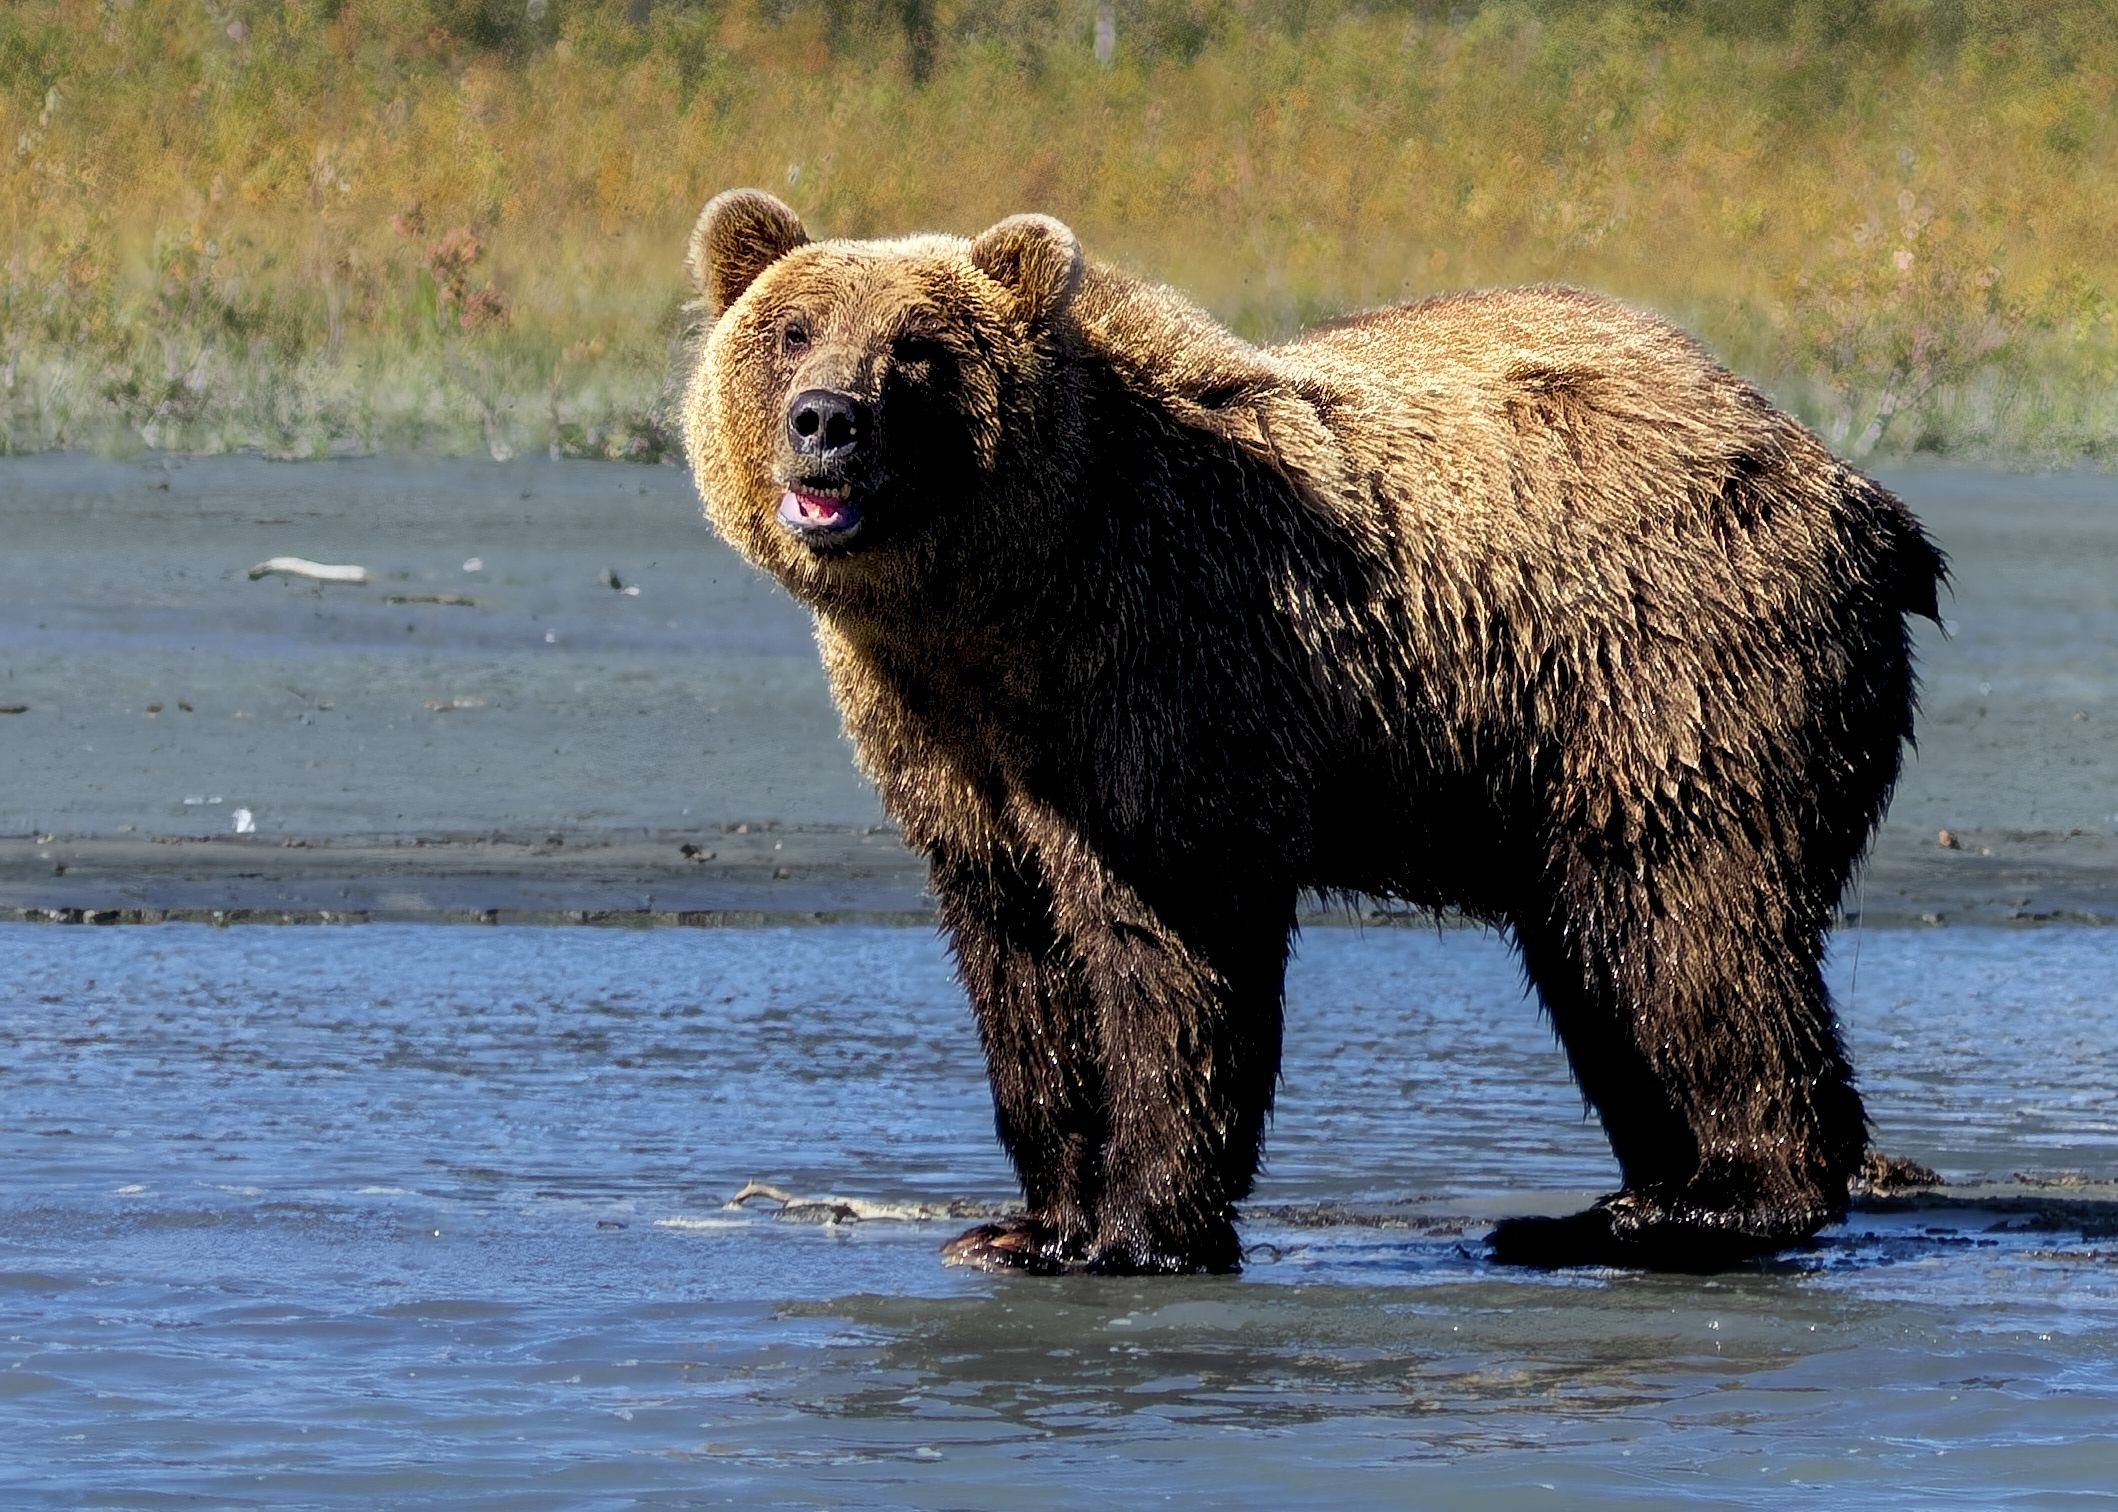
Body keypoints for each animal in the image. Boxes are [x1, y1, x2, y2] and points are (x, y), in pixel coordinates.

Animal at [678, 188, 1945, 1275]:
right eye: (791, 329)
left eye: (918, 351)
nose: (826, 421)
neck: (1002, 602)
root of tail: (1852, 490)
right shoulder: (949, 747)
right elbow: (1016, 959)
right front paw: (1024, 1224)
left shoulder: (1163, 670)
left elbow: (1168, 943)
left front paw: (1135, 1231)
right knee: (1599, 953)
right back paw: (1624, 1199)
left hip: (1663, 675)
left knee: (1687, 923)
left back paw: (1702, 1202)